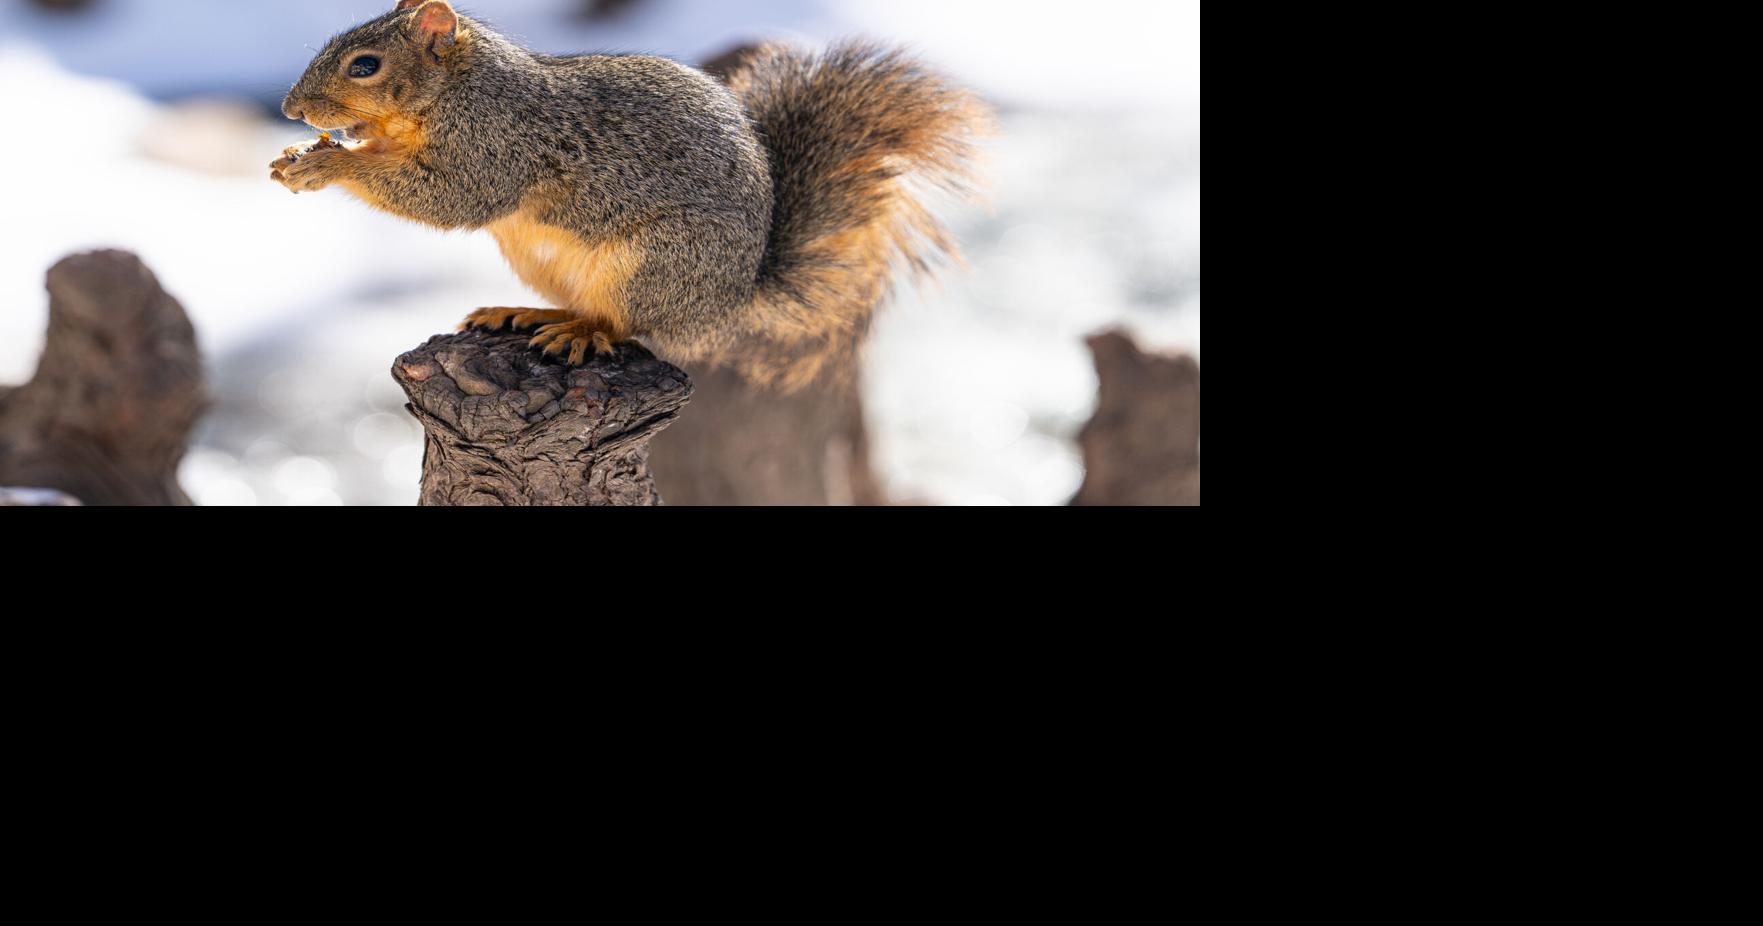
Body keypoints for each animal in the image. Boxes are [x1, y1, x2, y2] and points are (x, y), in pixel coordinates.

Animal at [271, 0, 988, 390]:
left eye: (365, 66)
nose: (290, 110)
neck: (456, 90)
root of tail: (727, 303)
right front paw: (300, 156)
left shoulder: (496, 142)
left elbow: (450, 197)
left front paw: (326, 163)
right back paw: (527, 314)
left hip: (655, 261)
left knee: (624, 324)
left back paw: (580, 332)